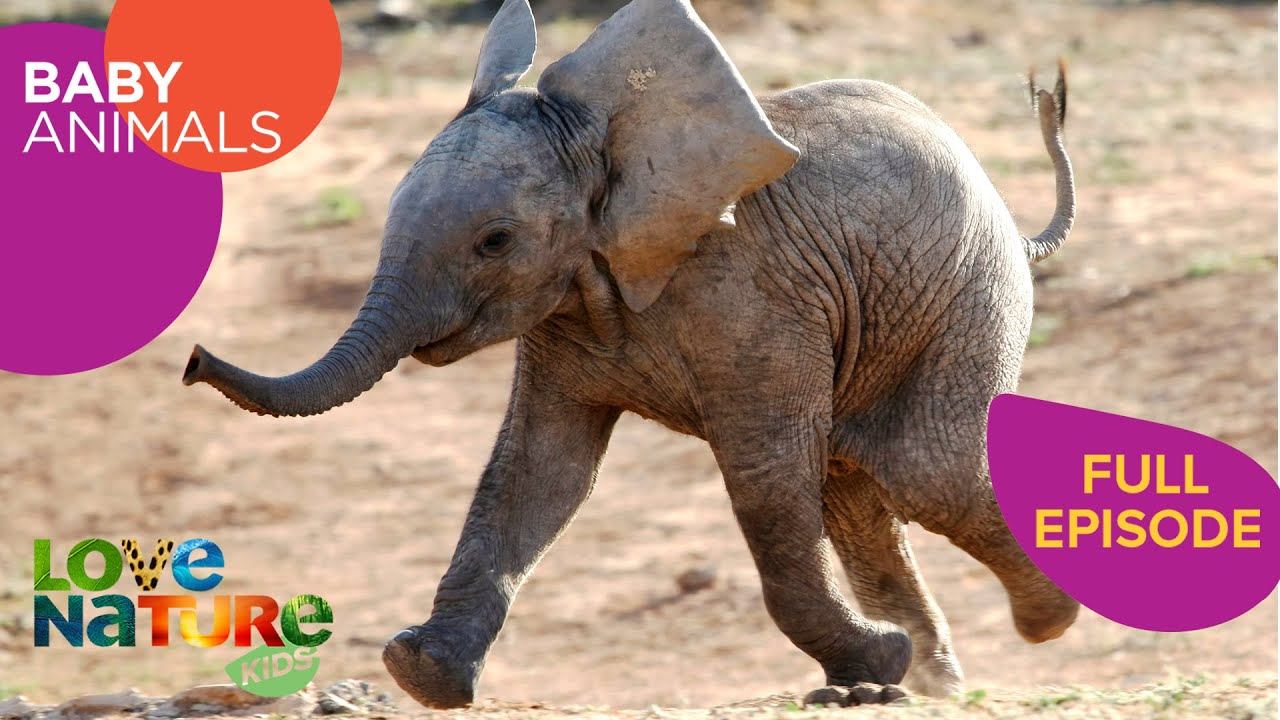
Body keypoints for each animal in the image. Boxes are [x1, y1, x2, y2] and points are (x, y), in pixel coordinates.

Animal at [182, 0, 1079, 707]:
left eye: (494, 241)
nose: (191, 359)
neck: (608, 146)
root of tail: (1013, 221)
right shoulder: (564, 309)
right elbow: (539, 471)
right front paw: (419, 672)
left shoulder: (751, 296)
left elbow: (763, 476)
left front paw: (878, 660)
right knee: (856, 486)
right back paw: (933, 680)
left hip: (969, 295)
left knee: (928, 472)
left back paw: (1038, 625)